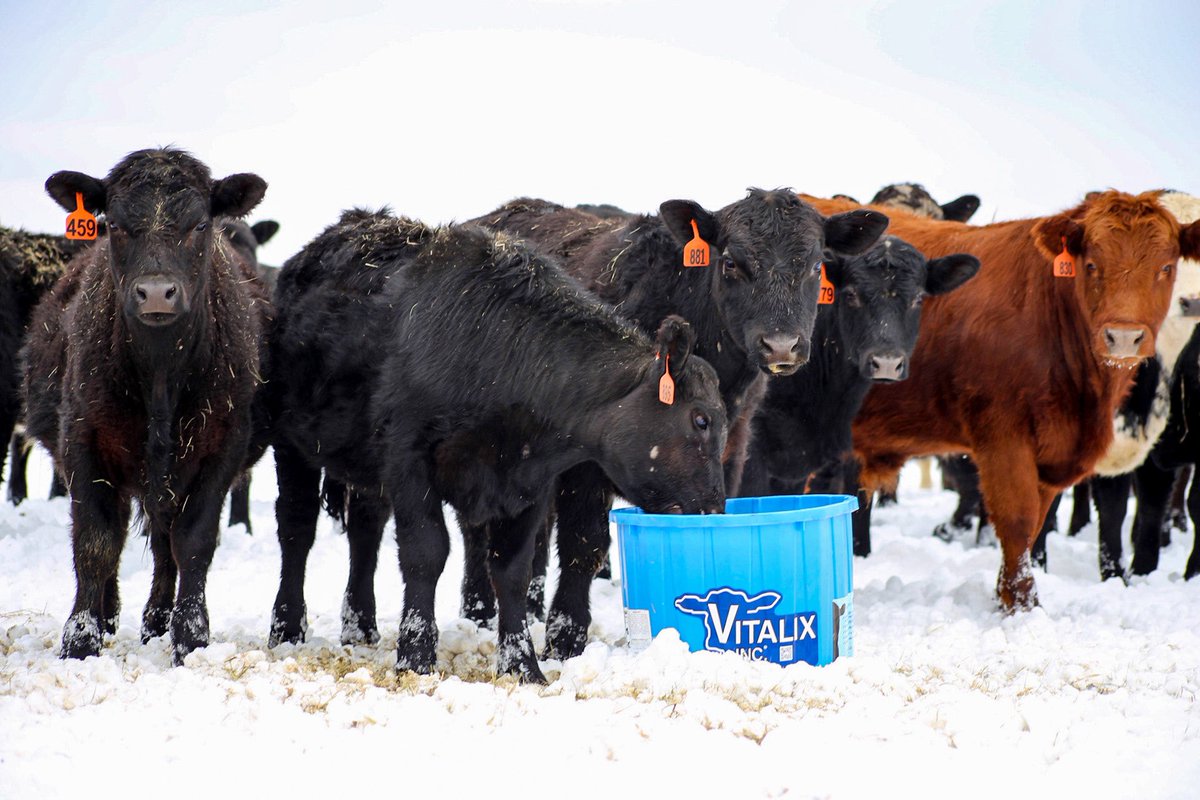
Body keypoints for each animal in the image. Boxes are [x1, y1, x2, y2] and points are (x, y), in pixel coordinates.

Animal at [24, 148, 271, 663]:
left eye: (200, 224)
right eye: (114, 224)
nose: (156, 291)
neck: (160, 374)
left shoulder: (222, 447)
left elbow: (192, 541)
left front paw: (190, 636)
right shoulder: (83, 441)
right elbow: (95, 541)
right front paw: (80, 638)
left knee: (162, 543)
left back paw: (157, 620)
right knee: (118, 533)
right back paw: (109, 616)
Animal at [266, 209, 727, 683]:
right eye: (701, 419)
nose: (713, 508)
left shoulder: (530, 479)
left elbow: (512, 570)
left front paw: (523, 665)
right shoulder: (408, 458)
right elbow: (425, 552)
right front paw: (416, 657)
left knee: (365, 531)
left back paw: (360, 628)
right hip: (289, 440)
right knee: (296, 528)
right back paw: (287, 629)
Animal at [470, 190, 888, 659]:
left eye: (816, 266)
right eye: (731, 262)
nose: (781, 346)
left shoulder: (732, 447)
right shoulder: (585, 461)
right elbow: (584, 545)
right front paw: (565, 642)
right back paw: (478, 614)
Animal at [800, 190, 1200, 611]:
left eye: (1166, 267)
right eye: (1091, 264)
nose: (1123, 337)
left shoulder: (1055, 451)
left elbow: (1040, 522)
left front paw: (1006, 594)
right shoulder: (1002, 439)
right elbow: (1017, 520)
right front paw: (1022, 605)